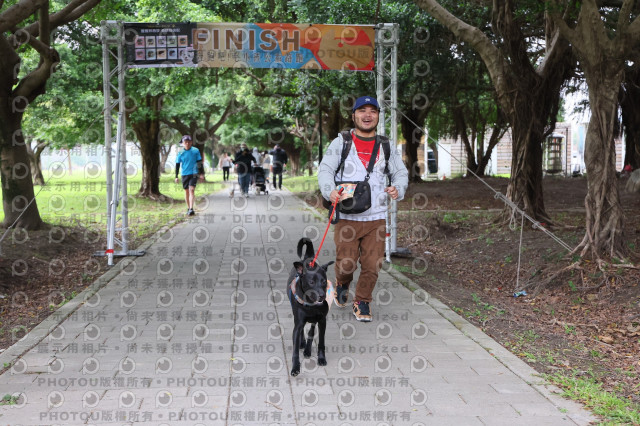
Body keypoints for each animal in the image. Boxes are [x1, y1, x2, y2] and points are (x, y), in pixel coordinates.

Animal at [288, 237, 334, 376]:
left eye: (324, 281)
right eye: (311, 282)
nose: (322, 296)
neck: (311, 305)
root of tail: (308, 259)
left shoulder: (322, 321)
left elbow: (321, 342)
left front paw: (321, 358)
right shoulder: (298, 323)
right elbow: (295, 348)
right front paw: (295, 368)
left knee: (311, 331)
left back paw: (308, 350)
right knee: (303, 330)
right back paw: (303, 344)